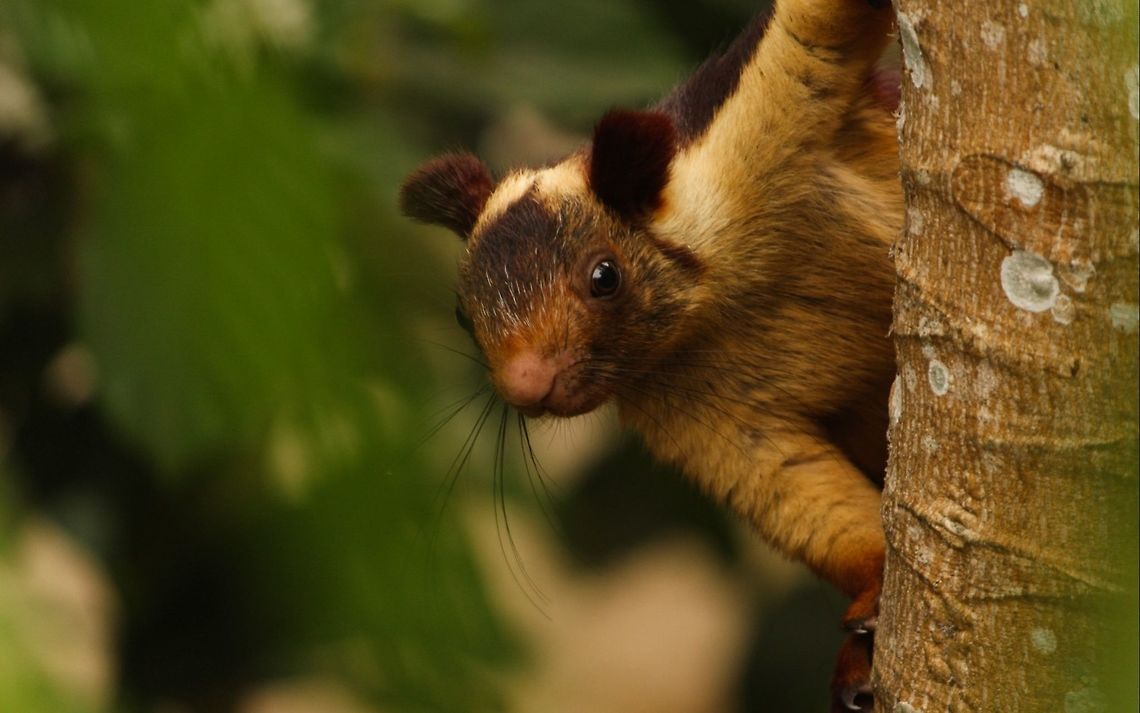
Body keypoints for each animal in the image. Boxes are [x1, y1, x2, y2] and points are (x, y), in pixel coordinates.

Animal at [400, 1, 901, 710]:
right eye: (461, 315)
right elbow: (805, 498)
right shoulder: (706, 421)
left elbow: (816, 34)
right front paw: (876, 586)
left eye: (604, 276)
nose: (525, 386)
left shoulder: (759, 119)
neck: (709, 312)